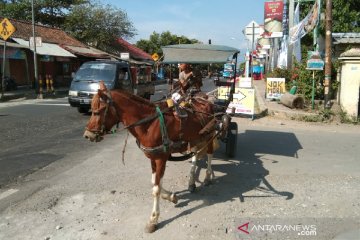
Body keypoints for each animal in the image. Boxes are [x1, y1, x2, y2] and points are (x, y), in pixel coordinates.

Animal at [84, 81, 219, 232]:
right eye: (92, 110)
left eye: (97, 112)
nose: (87, 135)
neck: (149, 124)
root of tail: (205, 100)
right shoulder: (153, 158)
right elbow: (154, 181)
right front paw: (170, 196)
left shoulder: (161, 158)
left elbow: (155, 189)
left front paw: (153, 219)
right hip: (195, 138)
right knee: (195, 156)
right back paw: (191, 182)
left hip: (209, 134)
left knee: (209, 154)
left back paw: (207, 177)